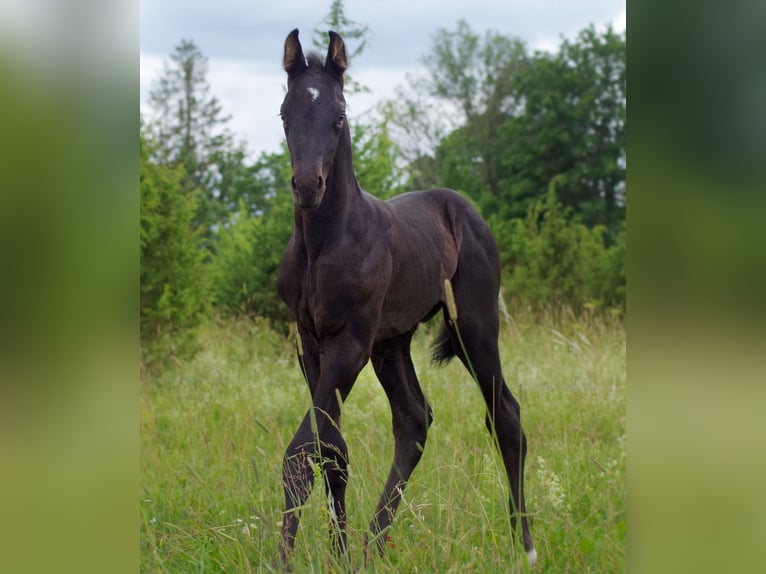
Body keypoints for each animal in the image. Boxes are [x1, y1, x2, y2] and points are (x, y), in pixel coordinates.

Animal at [278, 29, 540, 568]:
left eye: (339, 116)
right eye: (285, 114)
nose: (309, 186)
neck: (326, 241)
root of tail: (464, 208)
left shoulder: (350, 344)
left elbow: (302, 451)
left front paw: (280, 560)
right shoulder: (310, 343)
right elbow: (331, 450)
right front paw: (338, 555)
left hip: (473, 326)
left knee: (505, 415)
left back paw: (523, 545)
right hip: (392, 343)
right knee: (414, 421)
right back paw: (371, 545)